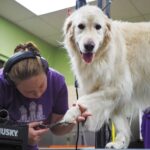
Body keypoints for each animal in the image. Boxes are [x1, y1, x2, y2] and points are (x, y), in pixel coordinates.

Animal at [61, 5, 150, 148]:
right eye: (81, 26)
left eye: (98, 27)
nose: (89, 46)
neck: (102, 55)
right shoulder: (116, 97)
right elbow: (122, 125)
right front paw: (120, 143)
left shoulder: (118, 88)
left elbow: (83, 100)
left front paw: (72, 113)